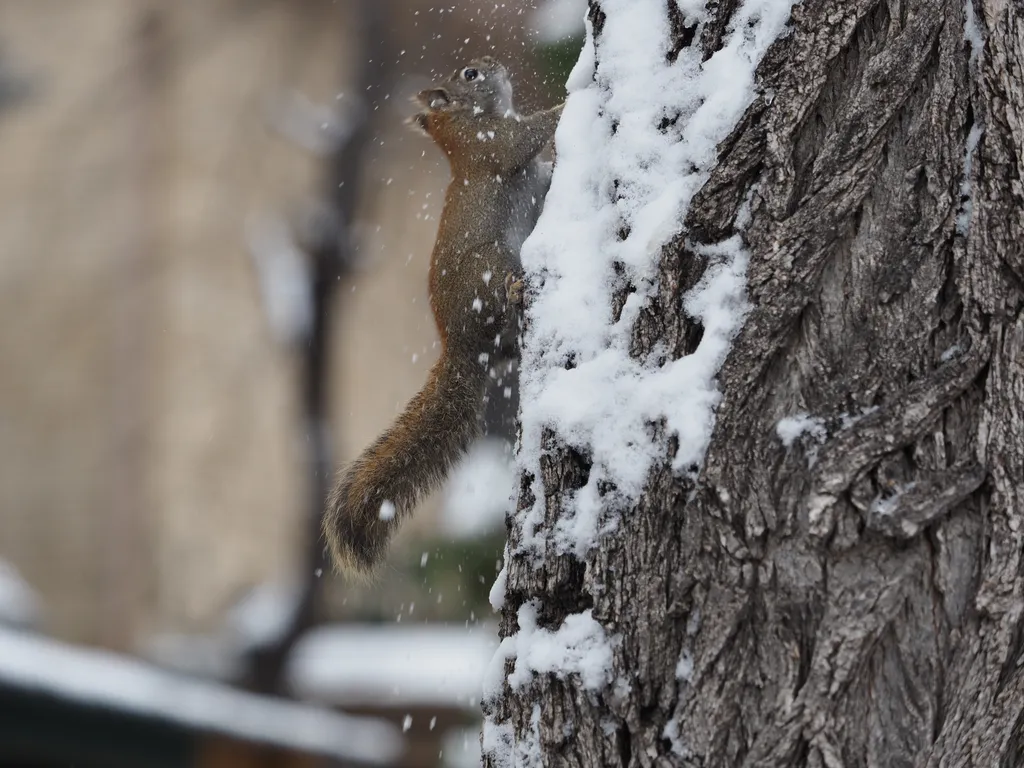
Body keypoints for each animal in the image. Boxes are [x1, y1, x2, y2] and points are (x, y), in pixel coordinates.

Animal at [325, 57, 561, 577]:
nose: (496, 66)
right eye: (470, 75)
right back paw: (517, 291)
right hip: (488, 266)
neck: (464, 127)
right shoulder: (492, 146)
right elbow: (528, 137)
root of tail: (461, 346)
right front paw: (569, 99)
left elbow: (544, 170)